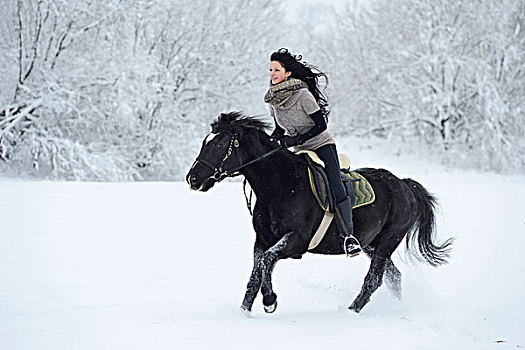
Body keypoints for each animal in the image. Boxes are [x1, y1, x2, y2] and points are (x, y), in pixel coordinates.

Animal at [186, 113, 452, 314]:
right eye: (204, 142)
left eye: (218, 144)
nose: (193, 179)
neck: (279, 184)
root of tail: (405, 185)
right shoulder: (262, 240)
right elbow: (256, 273)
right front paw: (244, 313)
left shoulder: (296, 241)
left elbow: (267, 262)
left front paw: (270, 301)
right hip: (372, 244)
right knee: (393, 276)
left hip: (388, 240)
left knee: (374, 279)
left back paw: (351, 312)